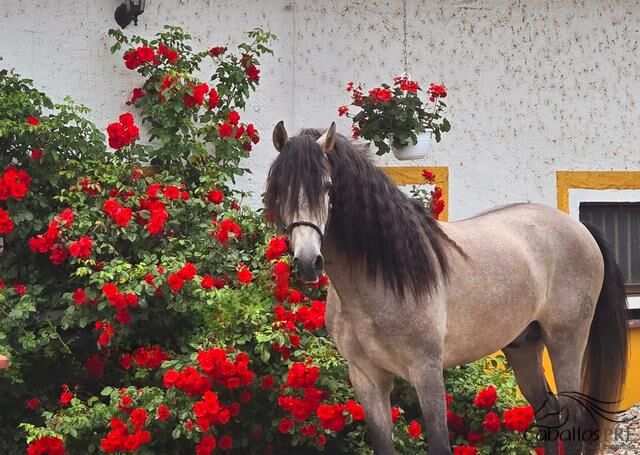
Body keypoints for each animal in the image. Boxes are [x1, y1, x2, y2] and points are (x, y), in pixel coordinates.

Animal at [262, 122, 628, 455]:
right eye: (278, 188)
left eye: (327, 186)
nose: (308, 262)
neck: (380, 281)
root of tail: (579, 227)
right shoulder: (366, 377)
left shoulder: (426, 372)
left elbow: (439, 444)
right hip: (524, 345)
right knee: (548, 414)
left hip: (567, 341)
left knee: (573, 422)